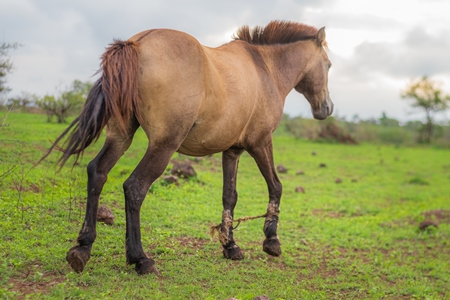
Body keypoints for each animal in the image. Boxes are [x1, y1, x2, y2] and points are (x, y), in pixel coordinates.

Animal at [44, 19, 332, 276]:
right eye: (328, 65)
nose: (327, 108)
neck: (265, 69)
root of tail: (136, 43)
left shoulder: (232, 150)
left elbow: (229, 196)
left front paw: (231, 246)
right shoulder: (261, 142)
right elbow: (276, 186)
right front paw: (271, 241)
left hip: (120, 136)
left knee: (97, 172)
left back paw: (82, 248)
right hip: (163, 145)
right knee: (135, 187)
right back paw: (140, 259)